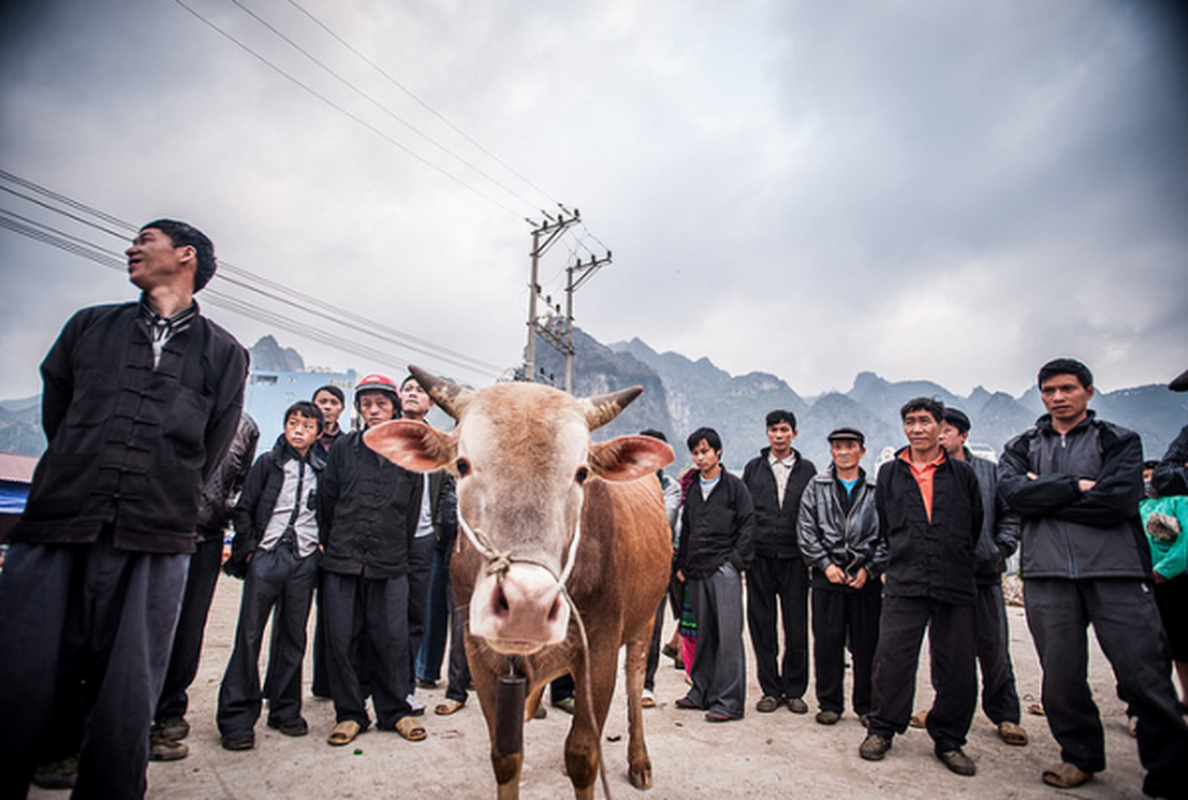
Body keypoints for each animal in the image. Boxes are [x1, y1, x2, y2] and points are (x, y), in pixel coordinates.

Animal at [361, 368, 679, 798]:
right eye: (462, 464)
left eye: (582, 473)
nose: (527, 605)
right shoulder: (478, 654)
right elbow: (506, 756)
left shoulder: (599, 651)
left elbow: (583, 756)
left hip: (645, 621)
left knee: (633, 682)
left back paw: (639, 760)